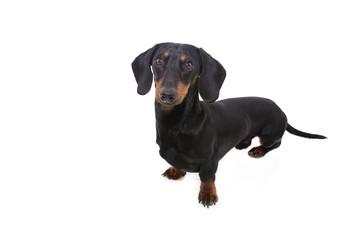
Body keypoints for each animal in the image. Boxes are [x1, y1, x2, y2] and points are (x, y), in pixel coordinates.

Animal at [131, 42, 326, 207]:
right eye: (158, 61)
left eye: (189, 65)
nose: (167, 95)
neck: (176, 125)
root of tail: (281, 109)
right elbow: (179, 164)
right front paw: (176, 170)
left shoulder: (210, 162)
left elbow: (207, 178)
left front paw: (208, 194)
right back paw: (243, 142)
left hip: (269, 134)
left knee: (275, 143)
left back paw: (258, 150)